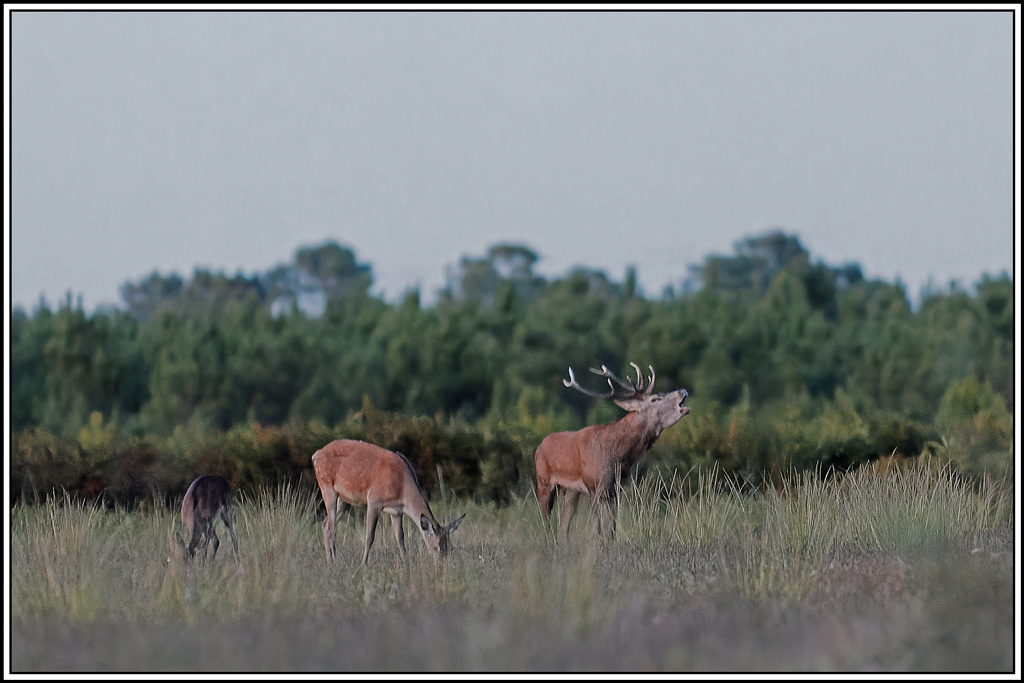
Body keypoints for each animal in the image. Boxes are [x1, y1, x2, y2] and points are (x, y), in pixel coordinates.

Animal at [311, 439, 466, 565]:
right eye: (435, 547)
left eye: (450, 548)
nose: (442, 566)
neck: (402, 486)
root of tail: (315, 455)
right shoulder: (374, 500)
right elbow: (370, 536)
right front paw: (363, 564)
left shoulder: (397, 511)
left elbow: (400, 538)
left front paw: (406, 563)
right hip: (327, 486)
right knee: (332, 528)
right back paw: (334, 561)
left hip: (344, 499)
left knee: (325, 524)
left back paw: (330, 560)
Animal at [535, 362, 690, 544]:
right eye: (655, 398)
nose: (683, 391)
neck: (618, 455)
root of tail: (539, 446)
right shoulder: (594, 484)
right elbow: (598, 524)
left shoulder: (615, 487)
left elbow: (612, 526)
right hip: (544, 482)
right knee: (546, 521)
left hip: (571, 490)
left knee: (563, 525)